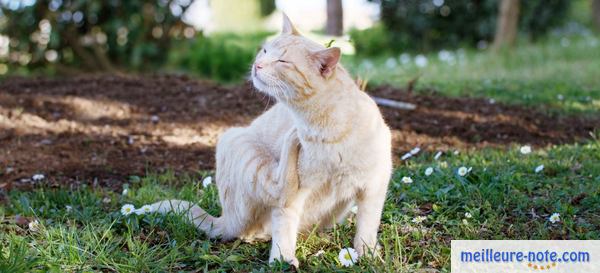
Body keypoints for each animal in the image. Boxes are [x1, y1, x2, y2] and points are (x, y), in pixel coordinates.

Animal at [152, 14, 392, 266]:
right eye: (265, 51)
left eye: (282, 61)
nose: (257, 65)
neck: (323, 129)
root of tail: (224, 219)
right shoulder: (298, 195)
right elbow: (284, 222)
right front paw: (282, 260)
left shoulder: (374, 186)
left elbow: (367, 227)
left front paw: (368, 254)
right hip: (234, 138)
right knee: (278, 193)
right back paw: (291, 139)